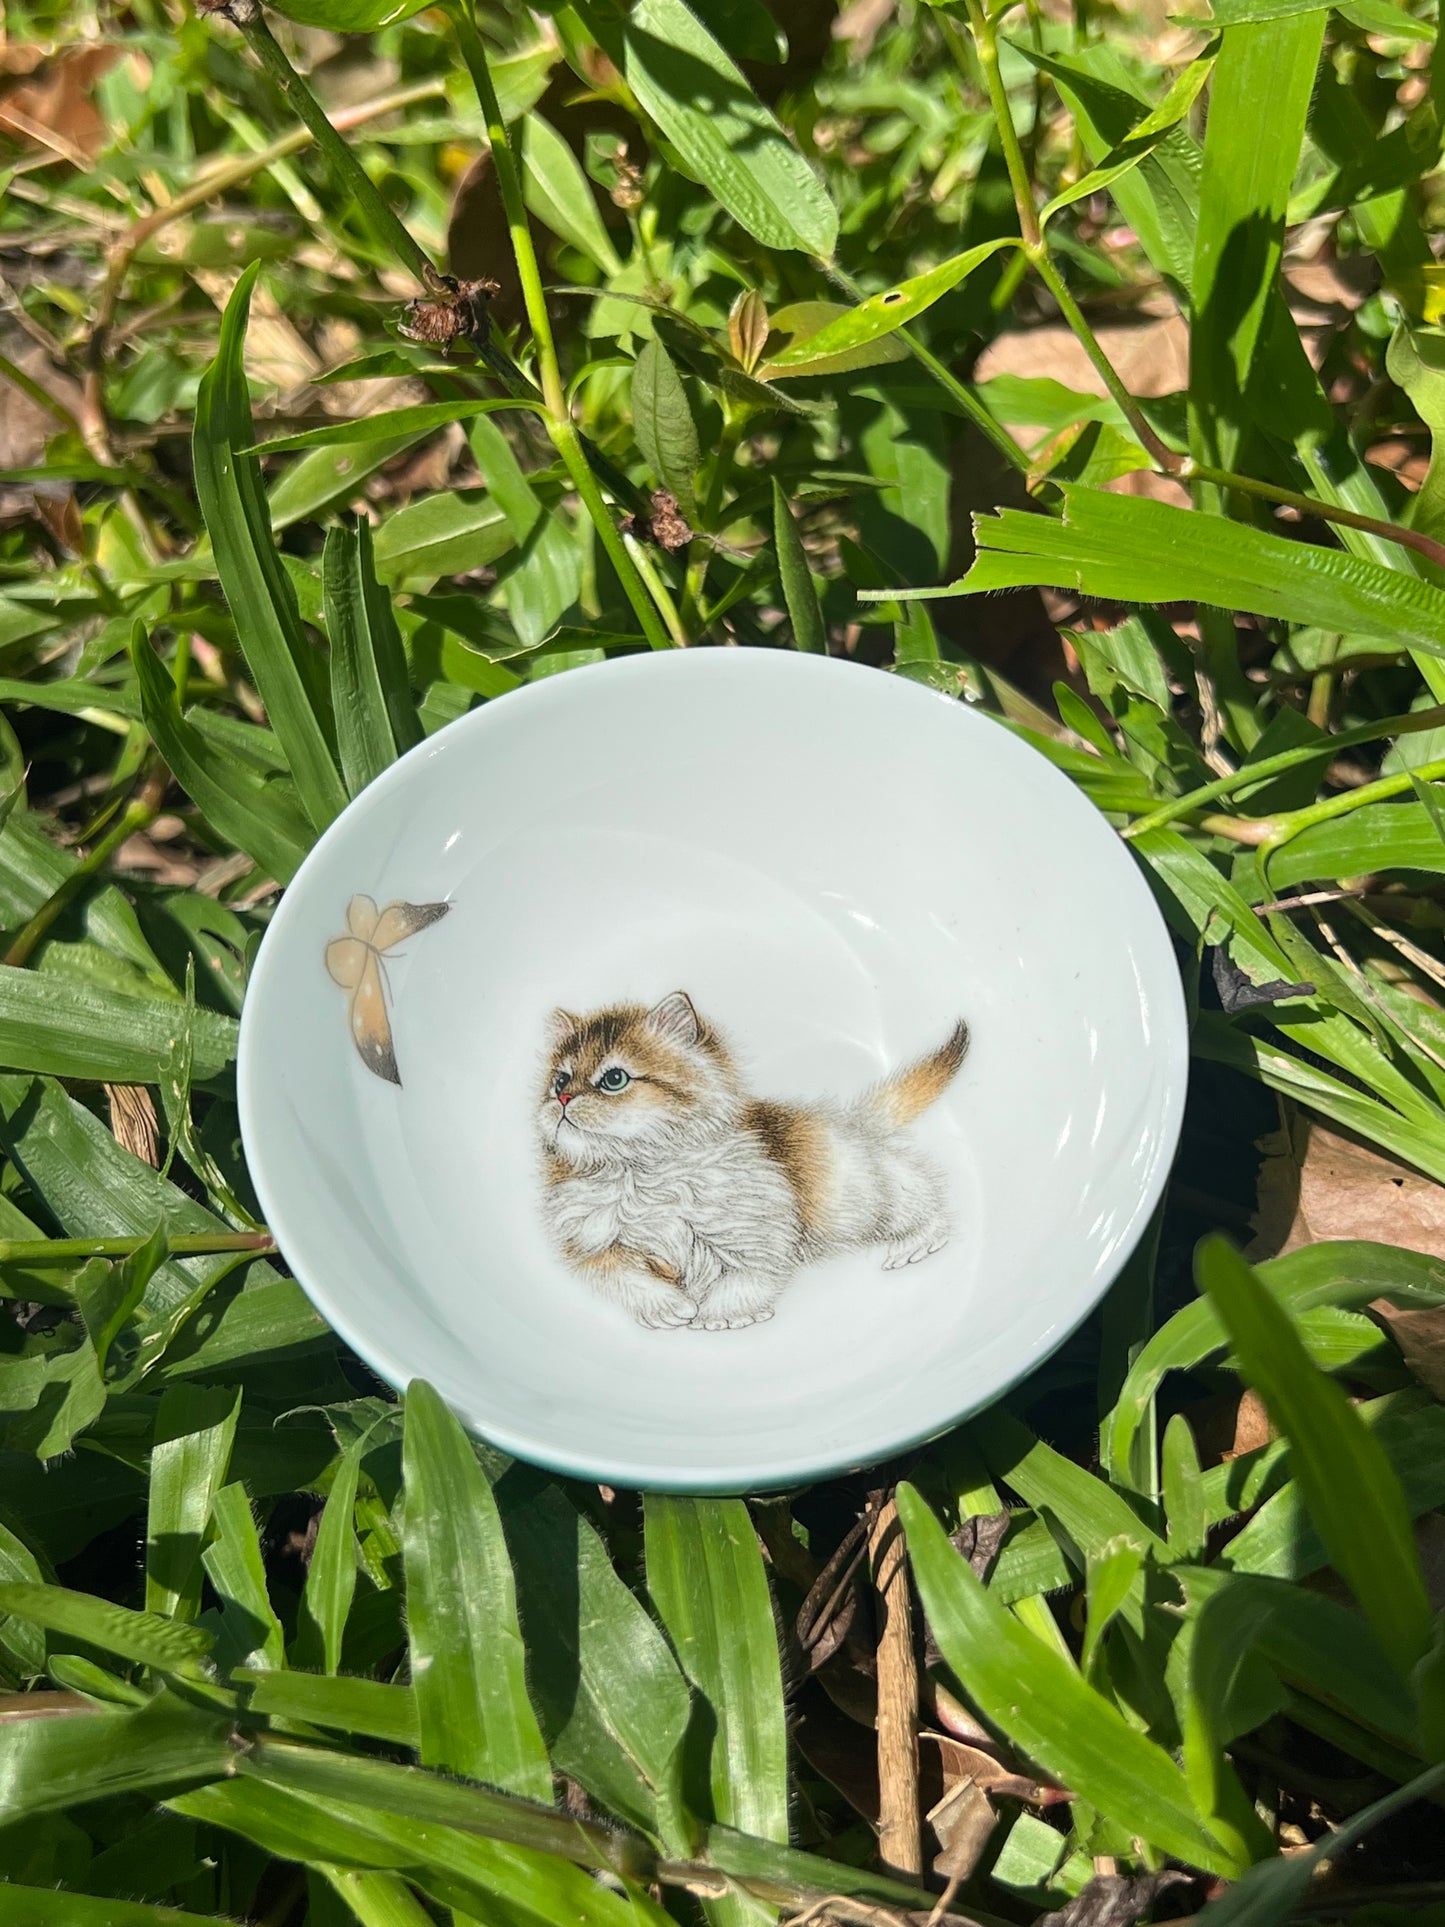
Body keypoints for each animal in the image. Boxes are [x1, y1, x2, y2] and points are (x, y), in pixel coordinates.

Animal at [539, 994, 967, 1325]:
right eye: (560, 1081)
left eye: (614, 1079)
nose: (562, 1099)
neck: (641, 1175)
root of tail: (851, 1122)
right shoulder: (587, 1247)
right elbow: (621, 1275)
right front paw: (666, 1307)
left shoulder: (760, 1235)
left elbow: (747, 1279)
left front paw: (722, 1316)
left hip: (858, 1199)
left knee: (921, 1193)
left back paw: (916, 1243)